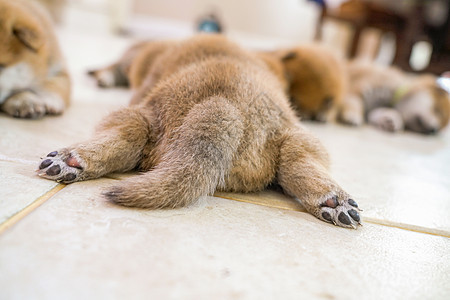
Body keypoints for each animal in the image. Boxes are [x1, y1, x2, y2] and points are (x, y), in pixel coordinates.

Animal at [37, 34, 362, 227]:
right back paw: (333, 201)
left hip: (139, 116)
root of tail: (222, 105)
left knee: (122, 138)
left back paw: (69, 158)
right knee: (299, 165)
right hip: (298, 139)